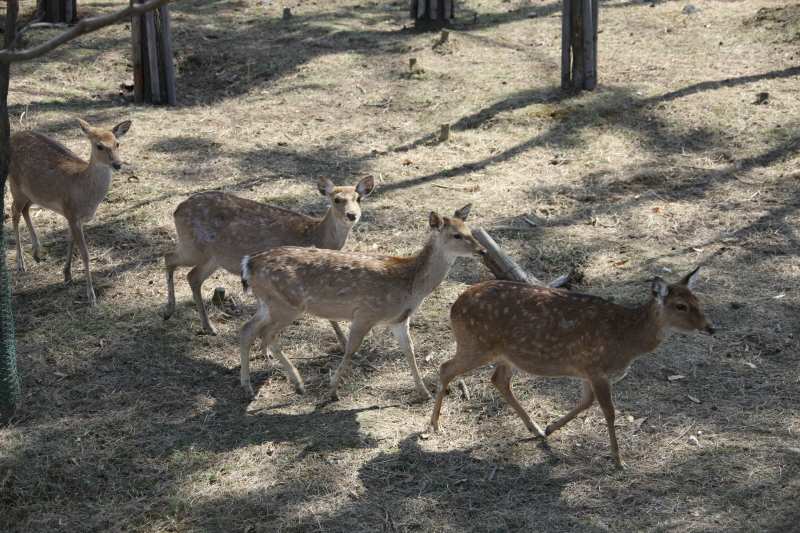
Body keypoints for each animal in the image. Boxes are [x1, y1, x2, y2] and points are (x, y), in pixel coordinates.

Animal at [9, 118, 133, 306]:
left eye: (117, 143)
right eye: (99, 146)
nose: (117, 164)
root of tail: (13, 135)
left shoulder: (72, 215)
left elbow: (70, 241)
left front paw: (67, 274)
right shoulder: (72, 213)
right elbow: (85, 254)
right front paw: (91, 297)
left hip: (32, 192)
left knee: (25, 209)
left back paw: (37, 253)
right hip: (15, 184)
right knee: (13, 212)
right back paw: (20, 263)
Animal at [164, 177, 376, 348]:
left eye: (359, 198)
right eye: (337, 199)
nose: (352, 215)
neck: (314, 235)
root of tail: (177, 210)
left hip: (213, 257)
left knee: (193, 277)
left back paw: (209, 327)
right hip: (193, 247)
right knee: (169, 256)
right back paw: (168, 311)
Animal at [239, 204, 488, 400]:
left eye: (470, 230)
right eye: (456, 235)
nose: (483, 250)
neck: (411, 283)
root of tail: (248, 263)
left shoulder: (399, 319)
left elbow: (409, 351)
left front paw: (424, 392)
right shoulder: (366, 312)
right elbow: (351, 350)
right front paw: (333, 391)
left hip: (268, 301)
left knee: (247, 329)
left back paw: (248, 388)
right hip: (287, 302)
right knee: (266, 333)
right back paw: (297, 383)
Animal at [428, 268, 716, 468]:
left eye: (698, 300)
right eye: (681, 305)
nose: (711, 327)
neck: (626, 340)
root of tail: (455, 305)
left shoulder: (586, 370)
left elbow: (586, 403)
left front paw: (550, 427)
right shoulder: (598, 368)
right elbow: (610, 413)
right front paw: (619, 460)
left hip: (504, 353)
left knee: (498, 379)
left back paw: (535, 428)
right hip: (476, 342)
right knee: (445, 367)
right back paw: (435, 424)